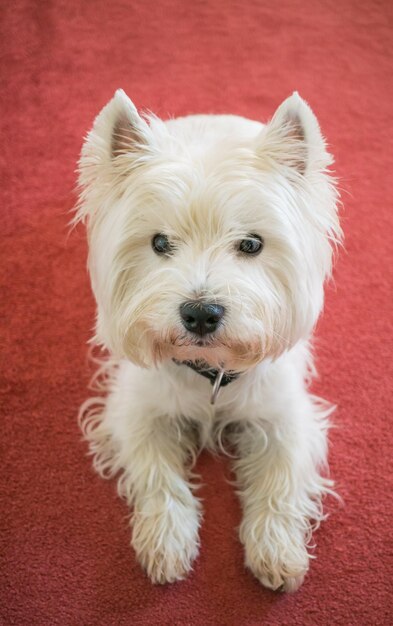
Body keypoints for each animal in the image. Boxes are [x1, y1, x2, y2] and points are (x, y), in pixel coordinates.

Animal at [75, 89, 338, 588]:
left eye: (251, 244)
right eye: (159, 243)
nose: (200, 314)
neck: (211, 371)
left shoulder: (285, 415)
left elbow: (279, 478)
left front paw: (277, 552)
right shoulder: (136, 411)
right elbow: (157, 474)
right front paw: (165, 544)